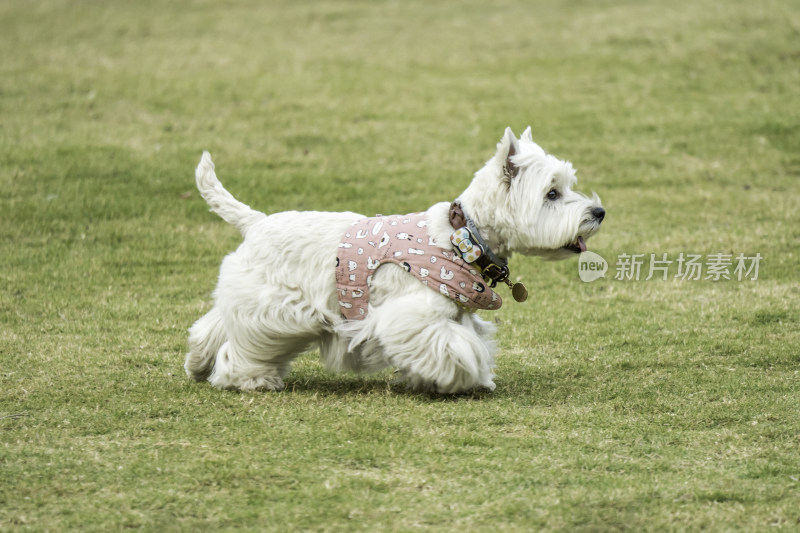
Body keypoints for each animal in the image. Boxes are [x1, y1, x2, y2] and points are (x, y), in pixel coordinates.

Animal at [184, 127, 604, 392]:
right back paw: (249, 379)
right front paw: (466, 377)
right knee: (241, 346)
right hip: (274, 312)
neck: (462, 237)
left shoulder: (454, 316)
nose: (599, 212)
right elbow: (458, 350)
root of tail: (255, 221)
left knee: (212, 326)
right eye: (551, 193)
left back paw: (197, 363)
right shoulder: (413, 317)